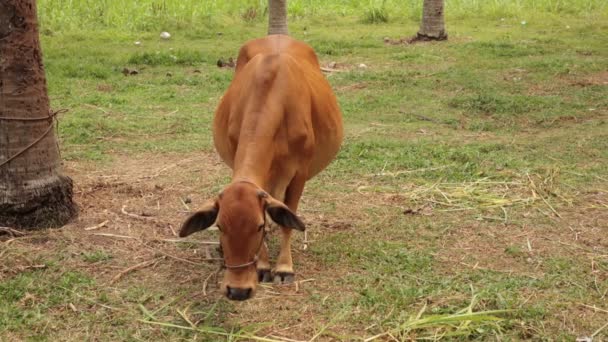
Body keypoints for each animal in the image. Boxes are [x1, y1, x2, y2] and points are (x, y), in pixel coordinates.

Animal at [179, 34, 342, 300]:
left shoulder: (299, 175)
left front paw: (284, 268)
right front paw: (263, 266)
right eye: (220, 225)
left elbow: (286, 221)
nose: (238, 290)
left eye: (257, 226)